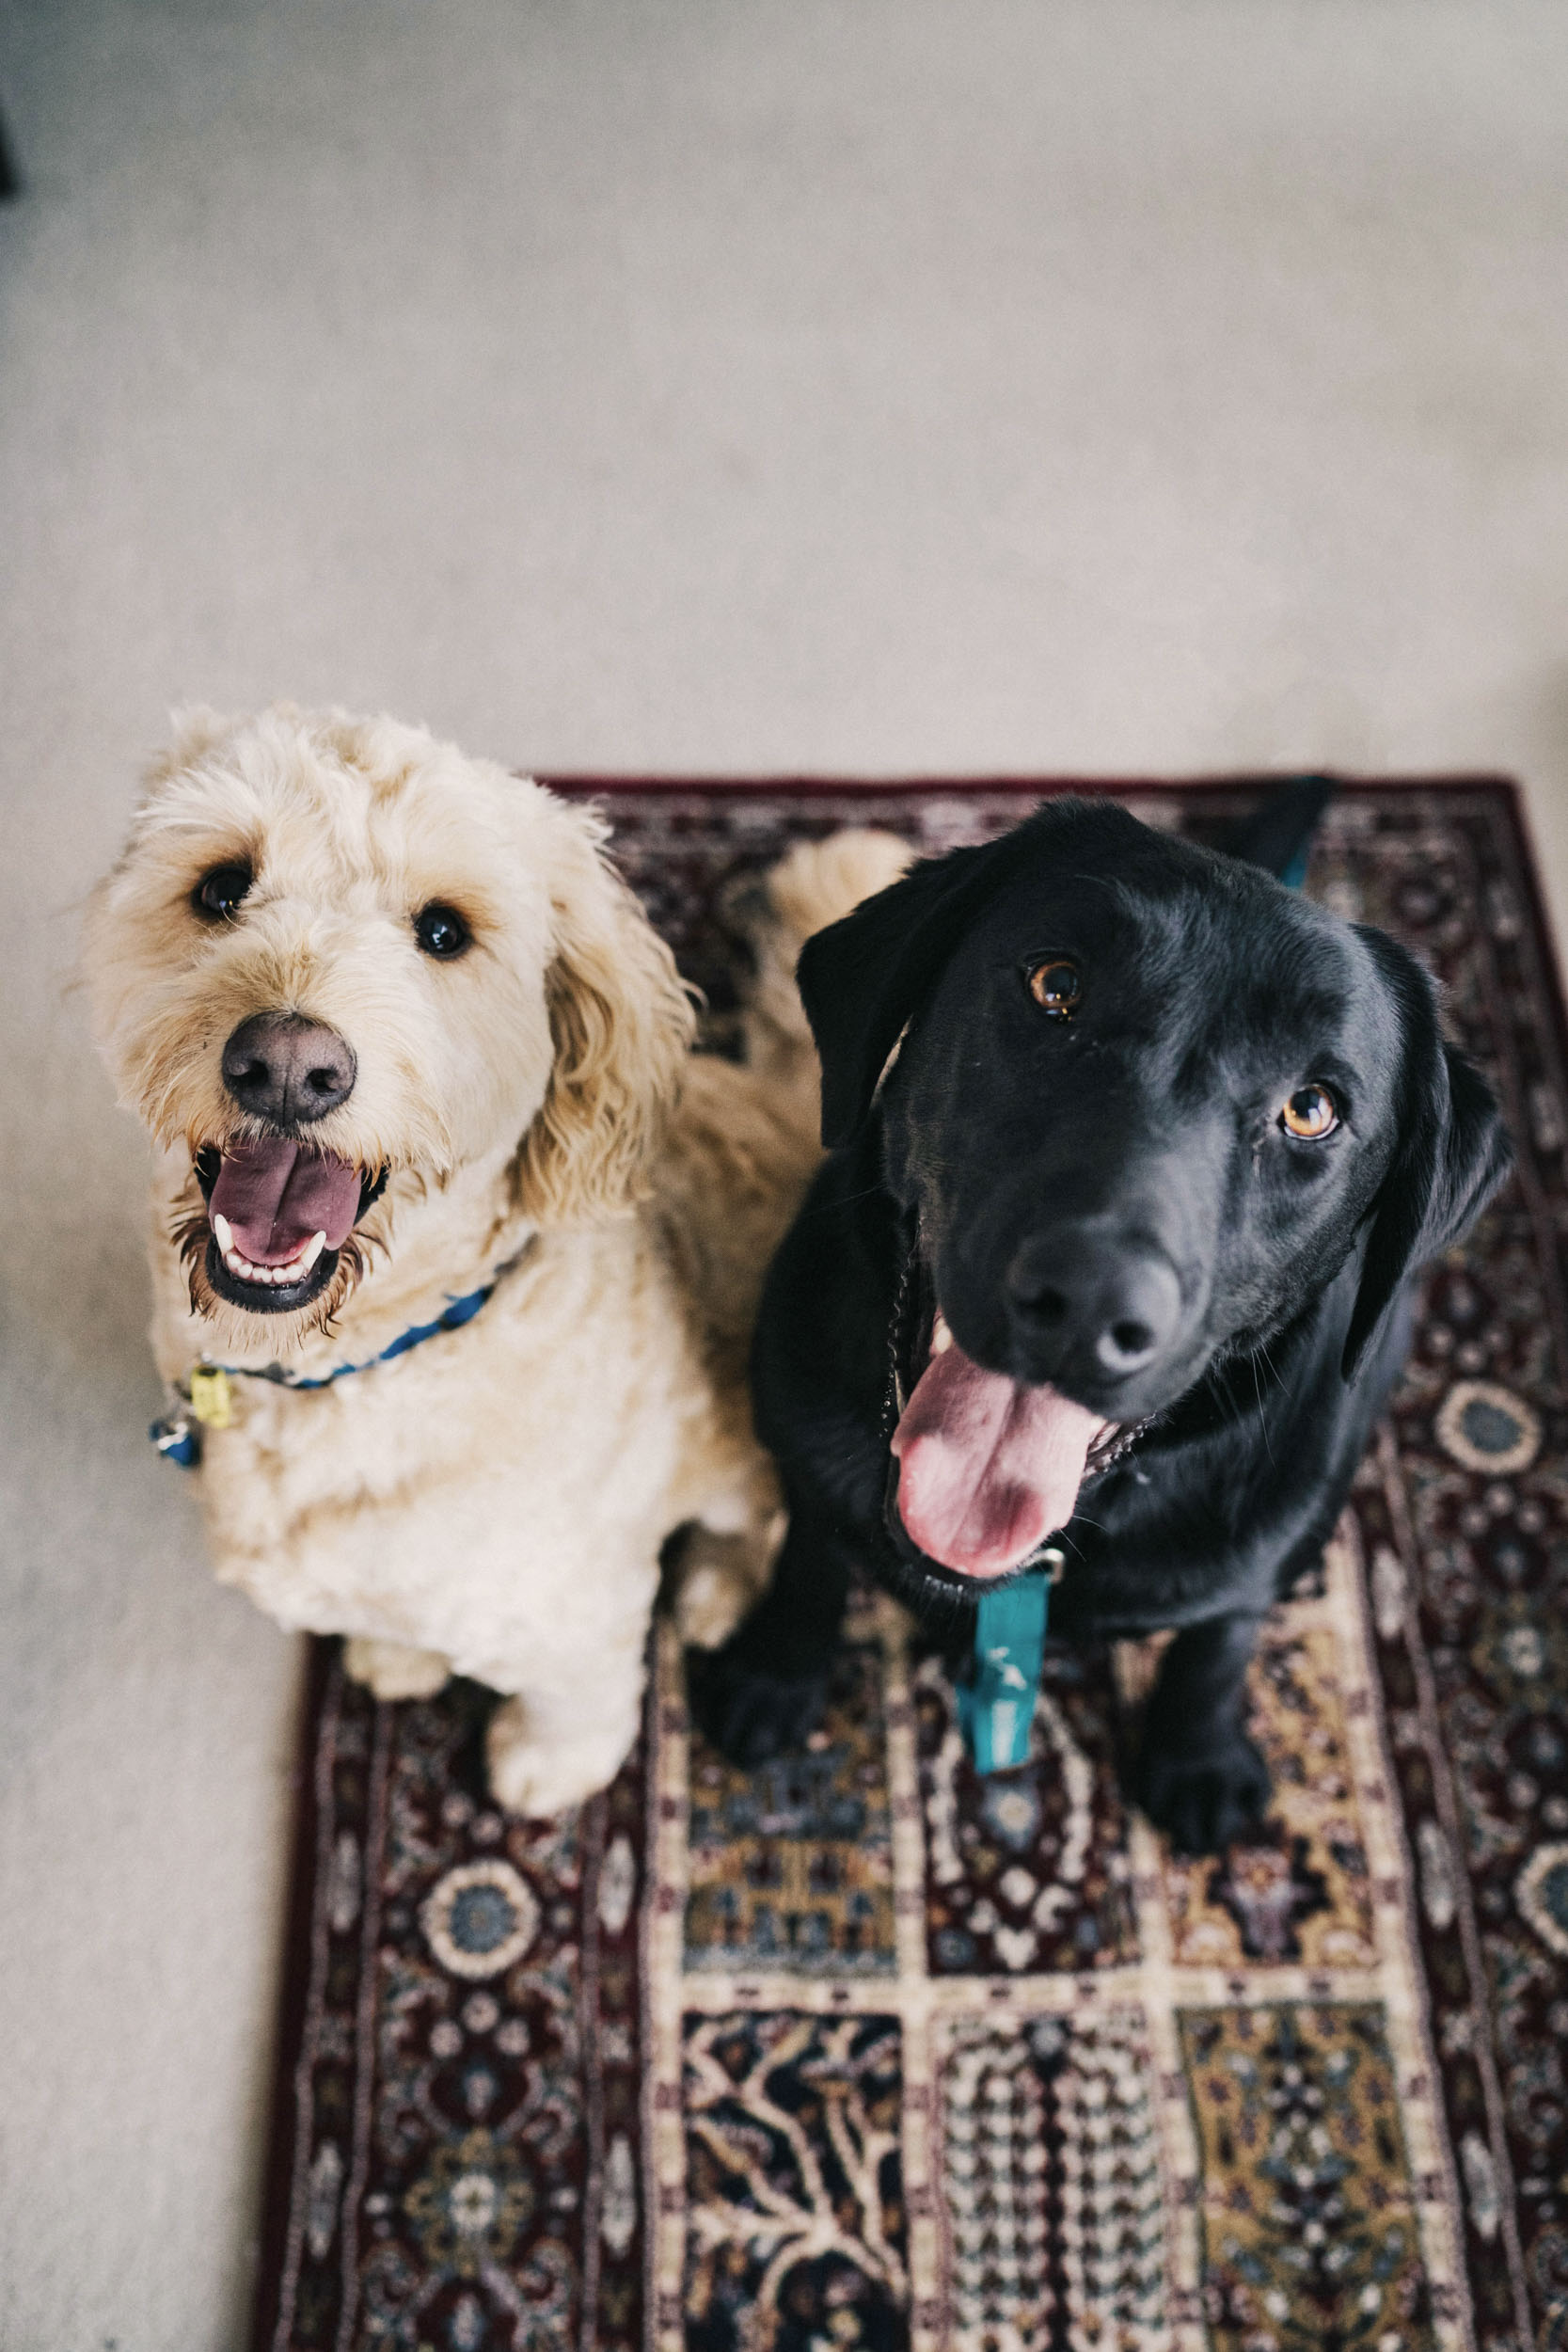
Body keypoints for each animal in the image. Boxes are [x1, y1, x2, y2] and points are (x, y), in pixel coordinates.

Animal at [86, 706, 907, 1806]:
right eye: (221, 886)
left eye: (443, 932)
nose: (289, 1066)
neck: (363, 1364)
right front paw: (398, 1655)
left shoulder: (572, 1603)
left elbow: (577, 1699)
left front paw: (543, 1767)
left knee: (759, 1522)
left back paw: (713, 1590)